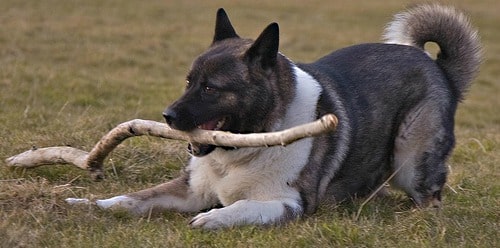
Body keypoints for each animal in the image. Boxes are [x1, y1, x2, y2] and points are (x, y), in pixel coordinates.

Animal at [93, 3, 480, 229]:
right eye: (189, 82)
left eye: (211, 89)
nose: (167, 116)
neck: (243, 150)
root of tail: (439, 68)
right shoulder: (190, 190)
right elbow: (133, 199)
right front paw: (92, 204)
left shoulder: (287, 203)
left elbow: (242, 208)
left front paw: (214, 217)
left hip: (410, 161)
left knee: (431, 198)